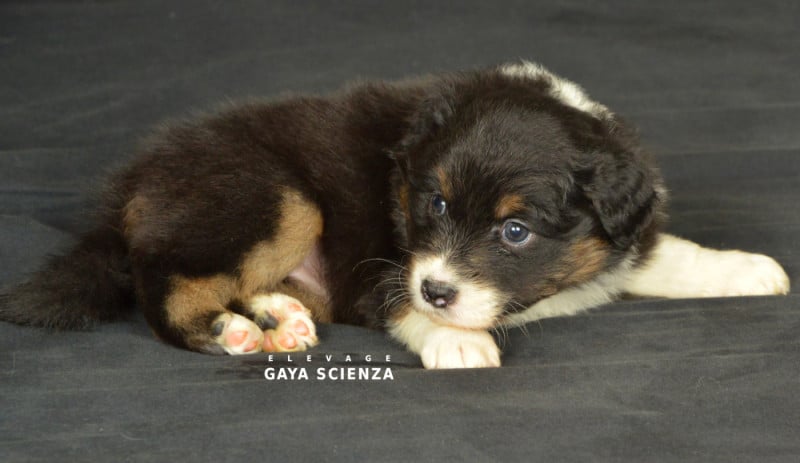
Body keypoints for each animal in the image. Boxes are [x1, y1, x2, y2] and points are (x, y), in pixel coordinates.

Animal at [0, 61, 790, 369]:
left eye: (514, 231)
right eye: (434, 203)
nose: (439, 290)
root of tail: (137, 180)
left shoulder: (620, 237)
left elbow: (668, 252)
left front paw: (749, 270)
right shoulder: (384, 259)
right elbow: (398, 299)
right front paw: (457, 341)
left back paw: (281, 317)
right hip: (273, 194)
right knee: (163, 281)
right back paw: (231, 332)